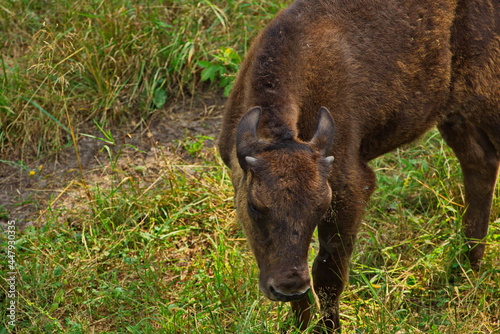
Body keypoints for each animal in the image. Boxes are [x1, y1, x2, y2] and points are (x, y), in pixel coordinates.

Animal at [217, 0, 498, 330]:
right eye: (254, 206)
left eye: (321, 205)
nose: (288, 286)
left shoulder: (349, 192)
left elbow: (328, 275)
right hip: (453, 115)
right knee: (480, 163)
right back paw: (467, 265)